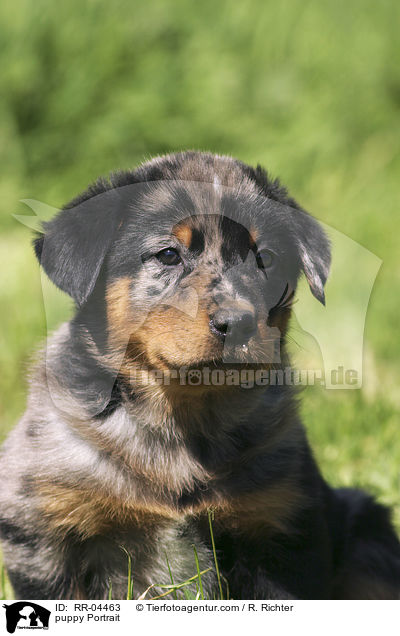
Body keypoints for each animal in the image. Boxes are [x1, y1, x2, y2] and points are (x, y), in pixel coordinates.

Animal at [0, 152, 400, 600]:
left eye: (266, 258)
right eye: (168, 255)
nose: (238, 323)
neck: (185, 420)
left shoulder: (279, 525)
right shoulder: (44, 533)